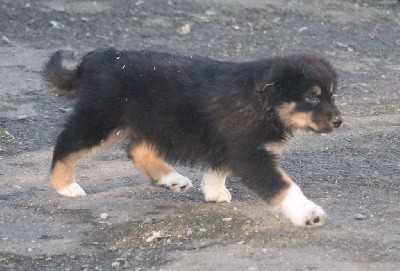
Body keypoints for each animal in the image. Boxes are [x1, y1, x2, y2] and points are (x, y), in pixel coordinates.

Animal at [44, 48, 344, 227]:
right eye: (311, 97)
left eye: (332, 94)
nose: (339, 121)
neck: (262, 101)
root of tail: (97, 59)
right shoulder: (249, 152)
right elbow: (284, 186)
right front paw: (309, 214)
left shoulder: (229, 144)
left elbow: (217, 167)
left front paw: (214, 192)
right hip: (101, 120)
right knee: (67, 143)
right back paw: (66, 186)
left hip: (153, 121)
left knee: (137, 149)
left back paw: (172, 179)